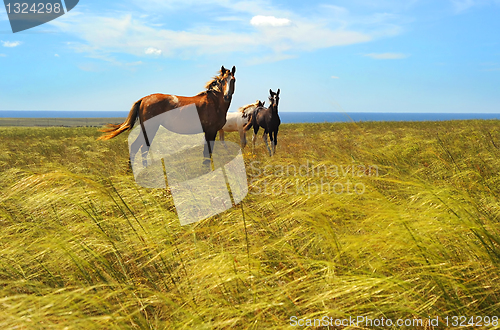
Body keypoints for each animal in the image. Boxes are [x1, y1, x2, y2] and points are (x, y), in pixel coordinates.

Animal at [100, 66, 237, 164]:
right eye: (222, 81)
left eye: (233, 80)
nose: (226, 96)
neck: (214, 103)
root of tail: (143, 99)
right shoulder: (210, 131)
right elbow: (207, 152)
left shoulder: (209, 131)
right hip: (150, 128)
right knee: (138, 147)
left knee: (141, 147)